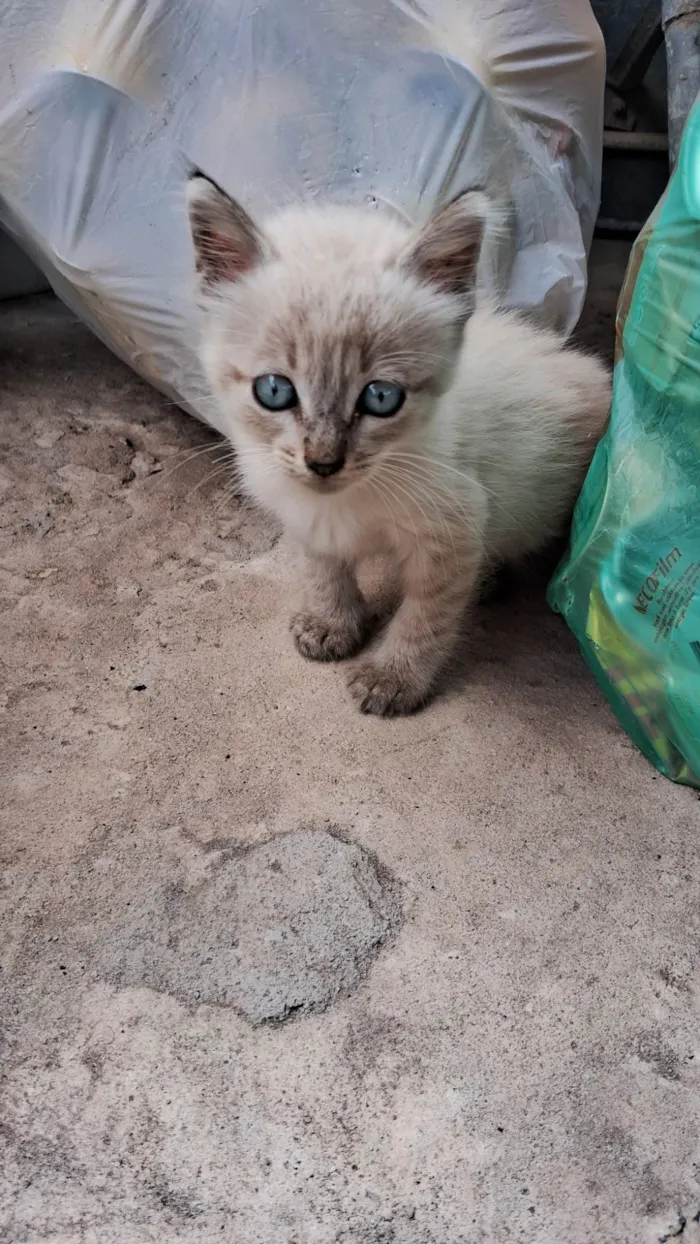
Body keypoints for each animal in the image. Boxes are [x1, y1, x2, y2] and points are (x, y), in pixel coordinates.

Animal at [186, 179, 609, 716]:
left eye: (381, 398)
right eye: (274, 390)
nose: (323, 462)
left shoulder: (452, 530)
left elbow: (424, 617)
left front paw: (393, 678)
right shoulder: (303, 514)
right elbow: (322, 570)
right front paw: (333, 623)